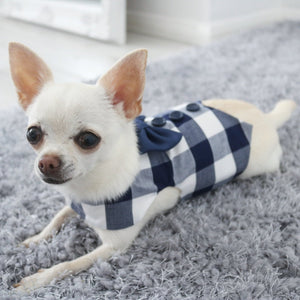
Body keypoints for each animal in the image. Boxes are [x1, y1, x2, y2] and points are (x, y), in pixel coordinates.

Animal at [8, 42, 296, 290]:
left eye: (88, 140)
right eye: (32, 134)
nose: (47, 162)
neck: (88, 185)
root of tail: (266, 117)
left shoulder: (114, 246)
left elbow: (69, 265)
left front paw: (36, 279)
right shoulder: (75, 204)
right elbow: (56, 218)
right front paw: (33, 240)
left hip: (259, 165)